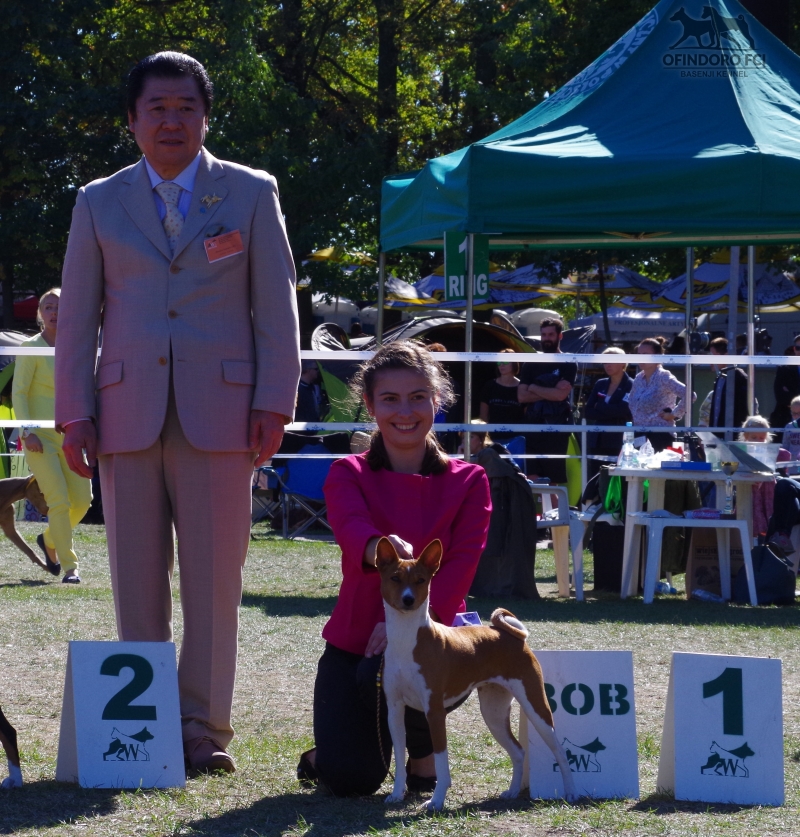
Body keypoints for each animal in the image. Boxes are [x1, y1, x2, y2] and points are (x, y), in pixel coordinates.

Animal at [376, 544, 576, 808]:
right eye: (395, 578)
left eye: (420, 580)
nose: (408, 599)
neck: (406, 641)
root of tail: (511, 637)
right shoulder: (395, 710)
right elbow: (399, 758)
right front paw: (398, 793)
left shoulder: (435, 712)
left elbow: (441, 762)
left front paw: (436, 801)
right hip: (493, 712)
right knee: (518, 751)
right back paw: (513, 791)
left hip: (535, 707)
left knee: (560, 753)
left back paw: (570, 793)